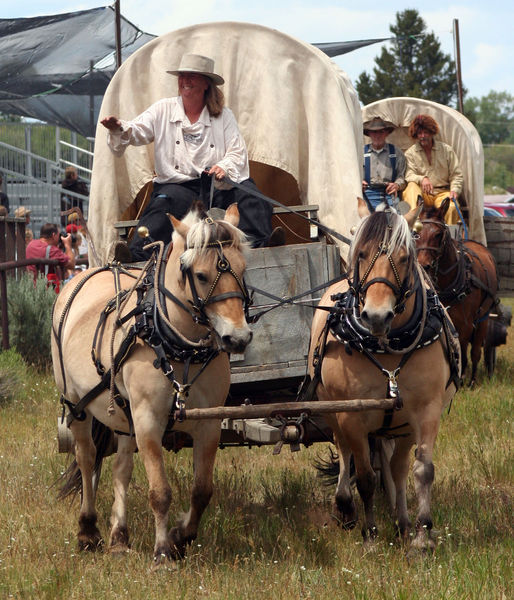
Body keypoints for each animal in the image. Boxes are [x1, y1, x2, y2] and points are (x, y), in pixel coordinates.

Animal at [52, 205, 252, 564]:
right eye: (201, 275)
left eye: (243, 270)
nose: (238, 338)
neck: (176, 345)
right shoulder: (147, 419)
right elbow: (160, 491)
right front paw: (161, 552)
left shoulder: (210, 422)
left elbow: (202, 490)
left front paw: (180, 537)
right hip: (77, 404)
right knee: (87, 457)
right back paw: (88, 530)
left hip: (122, 413)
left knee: (121, 466)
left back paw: (119, 537)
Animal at [308, 204, 456, 552]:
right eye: (361, 254)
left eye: (404, 257)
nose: (376, 316)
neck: (387, 344)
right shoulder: (352, 416)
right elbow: (364, 477)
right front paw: (371, 536)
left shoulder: (426, 411)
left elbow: (422, 470)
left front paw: (421, 533)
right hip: (331, 411)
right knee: (345, 454)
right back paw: (346, 508)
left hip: (401, 424)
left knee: (397, 467)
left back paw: (401, 521)